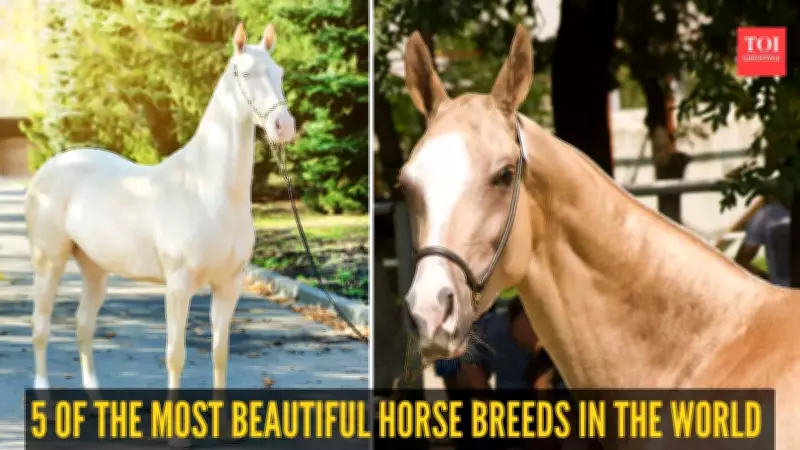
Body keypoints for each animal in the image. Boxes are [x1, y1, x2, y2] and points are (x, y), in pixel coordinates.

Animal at [24, 22, 295, 395]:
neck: (206, 189)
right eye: (246, 73)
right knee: (41, 327)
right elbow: (175, 356)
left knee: (83, 325)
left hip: (94, 268)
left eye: (279, 73)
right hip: (49, 262)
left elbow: (220, 355)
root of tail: (49, 167)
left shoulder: (229, 285)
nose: (284, 126)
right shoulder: (178, 286)